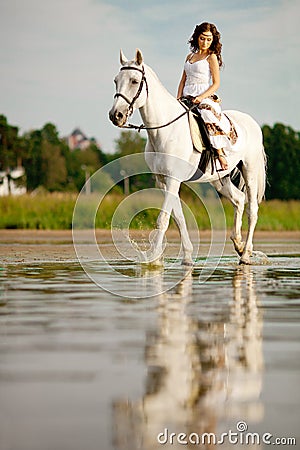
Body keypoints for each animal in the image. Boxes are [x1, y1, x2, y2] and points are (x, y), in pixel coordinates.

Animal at [109, 49, 266, 266]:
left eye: (134, 80)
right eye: (116, 80)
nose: (116, 115)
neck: (164, 130)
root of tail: (251, 122)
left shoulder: (173, 179)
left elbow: (163, 219)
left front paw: (153, 260)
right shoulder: (163, 181)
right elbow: (178, 217)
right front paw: (187, 258)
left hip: (250, 172)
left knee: (252, 210)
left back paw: (245, 254)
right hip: (219, 179)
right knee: (239, 199)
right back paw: (238, 244)